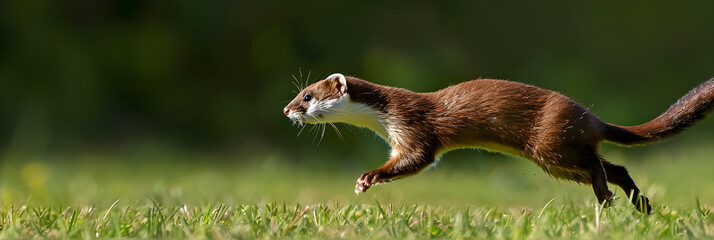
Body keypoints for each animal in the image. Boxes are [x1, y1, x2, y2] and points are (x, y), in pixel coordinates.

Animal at [282, 72, 712, 212]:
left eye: (307, 96)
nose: (286, 110)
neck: (386, 121)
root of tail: (590, 117)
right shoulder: (397, 141)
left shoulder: (414, 131)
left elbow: (418, 159)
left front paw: (366, 178)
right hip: (557, 158)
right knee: (615, 166)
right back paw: (638, 205)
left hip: (551, 145)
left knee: (596, 165)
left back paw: (606, 196)